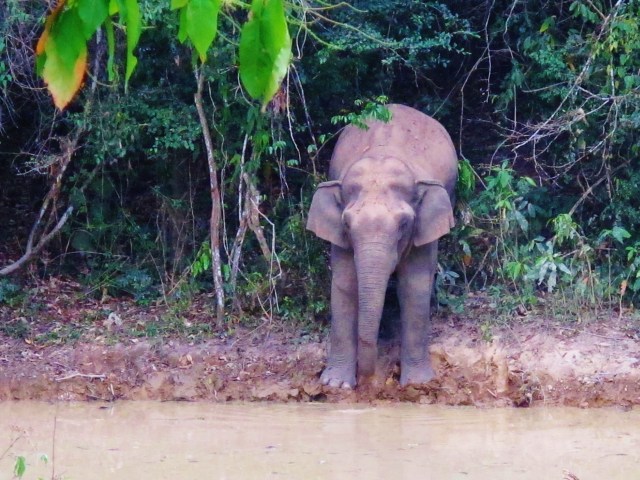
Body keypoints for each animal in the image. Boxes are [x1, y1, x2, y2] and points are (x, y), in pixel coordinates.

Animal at [307, 104, 457, 388]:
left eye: (403, 224)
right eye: (347, 224)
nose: (368, 377)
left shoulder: (422, 232)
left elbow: (414, 286)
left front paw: (417, 384)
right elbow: (345, 284)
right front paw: (336, 385)